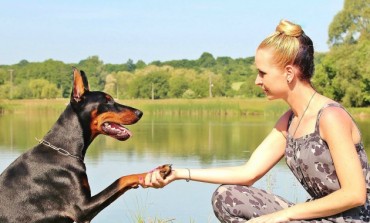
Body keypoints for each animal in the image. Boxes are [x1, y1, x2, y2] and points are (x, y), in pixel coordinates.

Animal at [0, 68, 171, 223]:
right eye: (107, 100)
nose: (140, 113)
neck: (63, 150)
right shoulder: (81, 208)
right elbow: (122, 179)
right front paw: (157, 172)